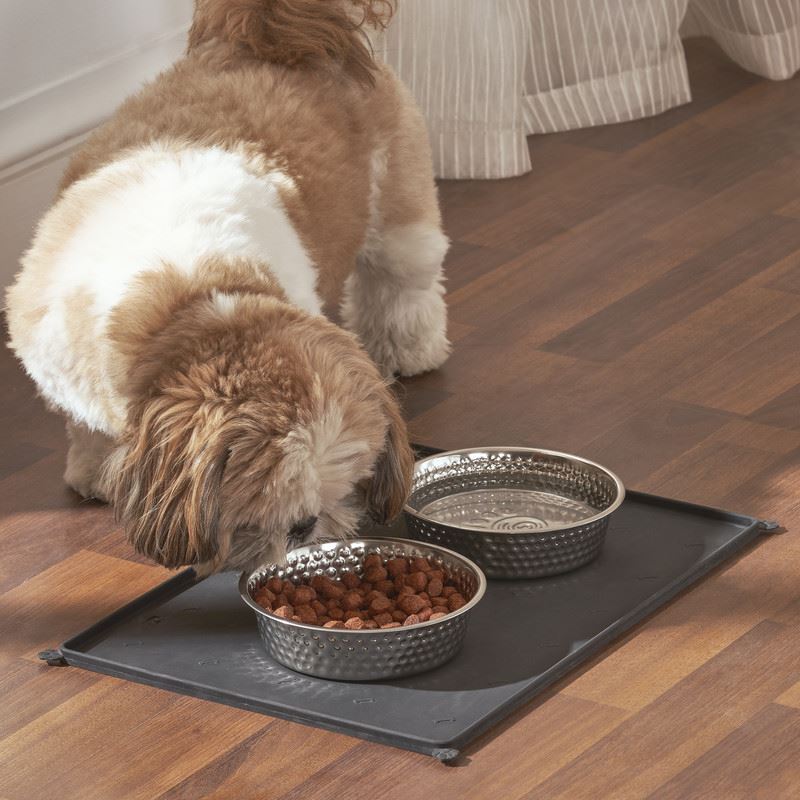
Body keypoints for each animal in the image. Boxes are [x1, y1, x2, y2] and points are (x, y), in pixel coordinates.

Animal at [4, 0, 450, 576]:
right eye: (266, 500)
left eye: (343, 488)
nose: (308, 527)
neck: (190, 295)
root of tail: (267, 35)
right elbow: (89, 427)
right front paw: (99, 470)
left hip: (397, 206)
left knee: (402, 279)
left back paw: (406, 347)